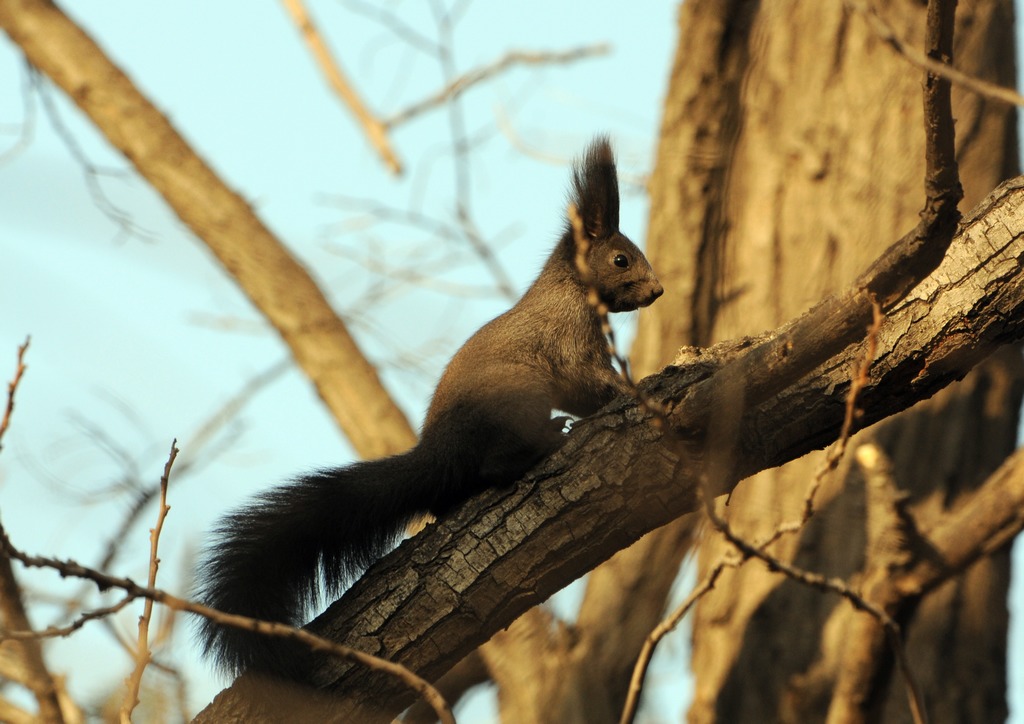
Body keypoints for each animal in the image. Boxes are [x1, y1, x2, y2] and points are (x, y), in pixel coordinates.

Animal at [196, 134, 667, 679]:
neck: (572, 290)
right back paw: (546, 440)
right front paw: (634, 389)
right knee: (494, 465)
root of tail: (437, 455)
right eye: (621, 259)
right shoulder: (569, 347)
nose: (658, 290)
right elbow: (592, 383)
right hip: (516, 396)